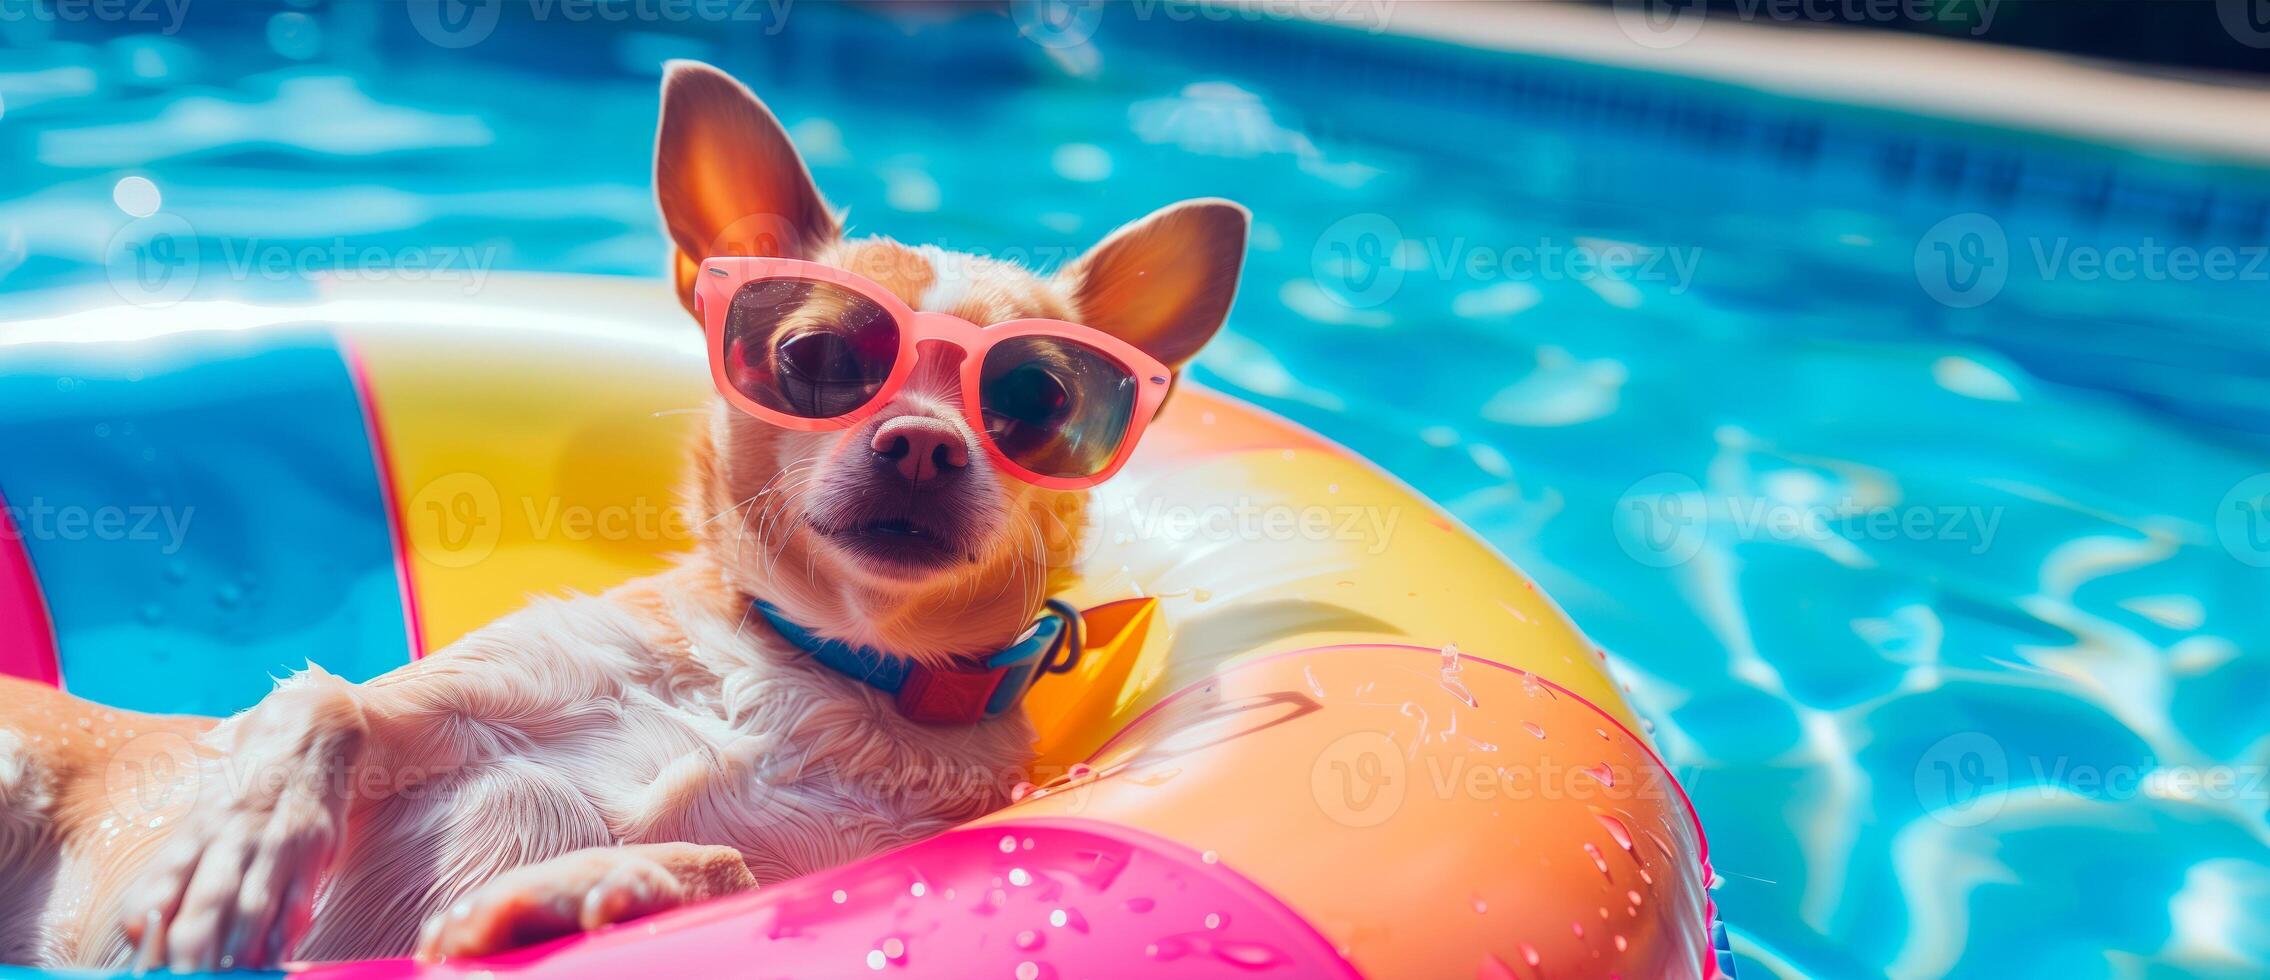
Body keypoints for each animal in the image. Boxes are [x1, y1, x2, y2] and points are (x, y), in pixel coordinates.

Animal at [0, 63, 1243, 970]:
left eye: (1036, 401)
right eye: (818, 357)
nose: (924, 442)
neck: (813, 667)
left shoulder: (818, 872)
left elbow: (722, 865)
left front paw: (573, 889)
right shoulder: (435, 702)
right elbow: (324, 701)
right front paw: (237, 852)